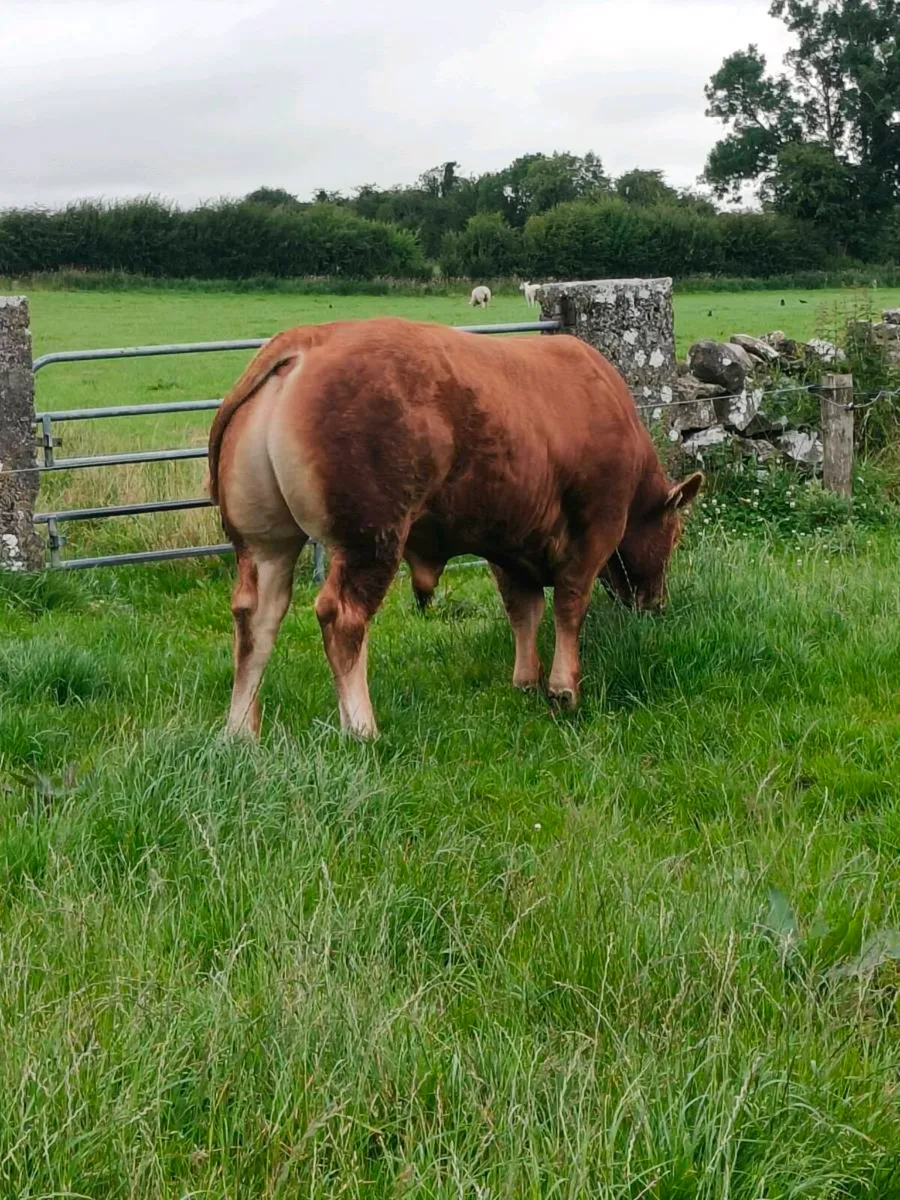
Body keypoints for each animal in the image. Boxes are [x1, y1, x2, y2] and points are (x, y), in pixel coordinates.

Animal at [207, 317, 702, 740]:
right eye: (674, 535)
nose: (657, 604)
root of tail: (311, 338)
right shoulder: (596, 527)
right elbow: (569, 604)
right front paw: (564, 689)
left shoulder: (510, 543)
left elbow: (523, 610)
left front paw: (525, 680)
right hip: (371, 536)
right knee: (342, 617)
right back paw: (362, 728)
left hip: (266, 542)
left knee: (256, 618)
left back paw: (240, 731)